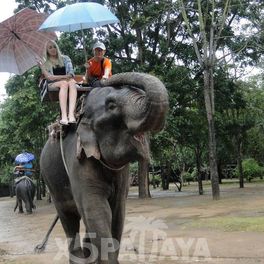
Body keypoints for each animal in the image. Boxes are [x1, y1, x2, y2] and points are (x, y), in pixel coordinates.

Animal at [40, 71, 168, 262]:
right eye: (112, 105)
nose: (99, 80)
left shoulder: (121, 173)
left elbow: (117, 213)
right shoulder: (77, 160)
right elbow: (97, 210)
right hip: (52, 185)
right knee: (69, 219)